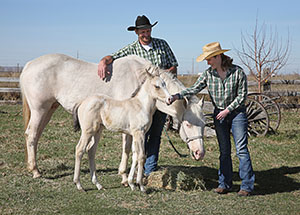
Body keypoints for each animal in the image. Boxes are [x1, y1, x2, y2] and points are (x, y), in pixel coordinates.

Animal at [19, 53, 205, 180]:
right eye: (188, 124)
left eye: (203, 125)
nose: (199, 153)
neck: (139, 78)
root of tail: (28, 65)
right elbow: (127, 148)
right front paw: (123, 175)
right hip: (39, 110)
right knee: (31, 134)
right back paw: (35, 171)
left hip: (49, 110)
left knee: (36, 136)